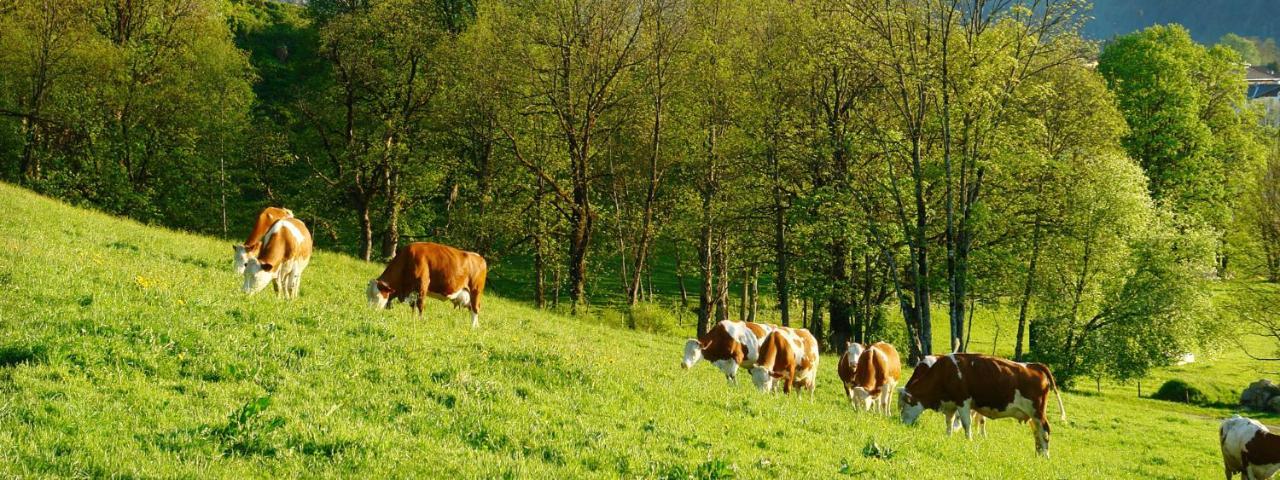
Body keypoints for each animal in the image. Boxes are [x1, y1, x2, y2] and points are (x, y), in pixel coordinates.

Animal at [901, 353, 1070, 458]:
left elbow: (966, 423)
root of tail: (1035, 365)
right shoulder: (950, 403)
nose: (902, 424)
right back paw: (1038, 454)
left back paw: (1045, 456)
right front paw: (948, 437)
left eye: (904, 405)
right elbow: (949, 421)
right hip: (1033, 416)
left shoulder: (963, 401)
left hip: (1038, 412)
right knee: (1037, 433)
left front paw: (968, 441)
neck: (945, 372)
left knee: (1045, 431)